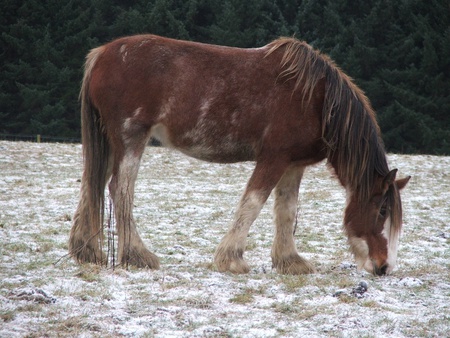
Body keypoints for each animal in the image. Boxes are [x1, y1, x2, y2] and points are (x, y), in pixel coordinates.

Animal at [68, 34, 410, 276]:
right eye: (382, 210)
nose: (384, 267)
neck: (317, 99)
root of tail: (102, 54)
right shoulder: (273, 159)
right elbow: (253, 203)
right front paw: (231, 259)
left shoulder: (293, 165)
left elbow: (286, 210)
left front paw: (289, 260)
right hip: (130, 138)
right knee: (120, 190)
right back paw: (137, 255)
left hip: (109, 142)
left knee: (92, 184)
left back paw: (88, 252)